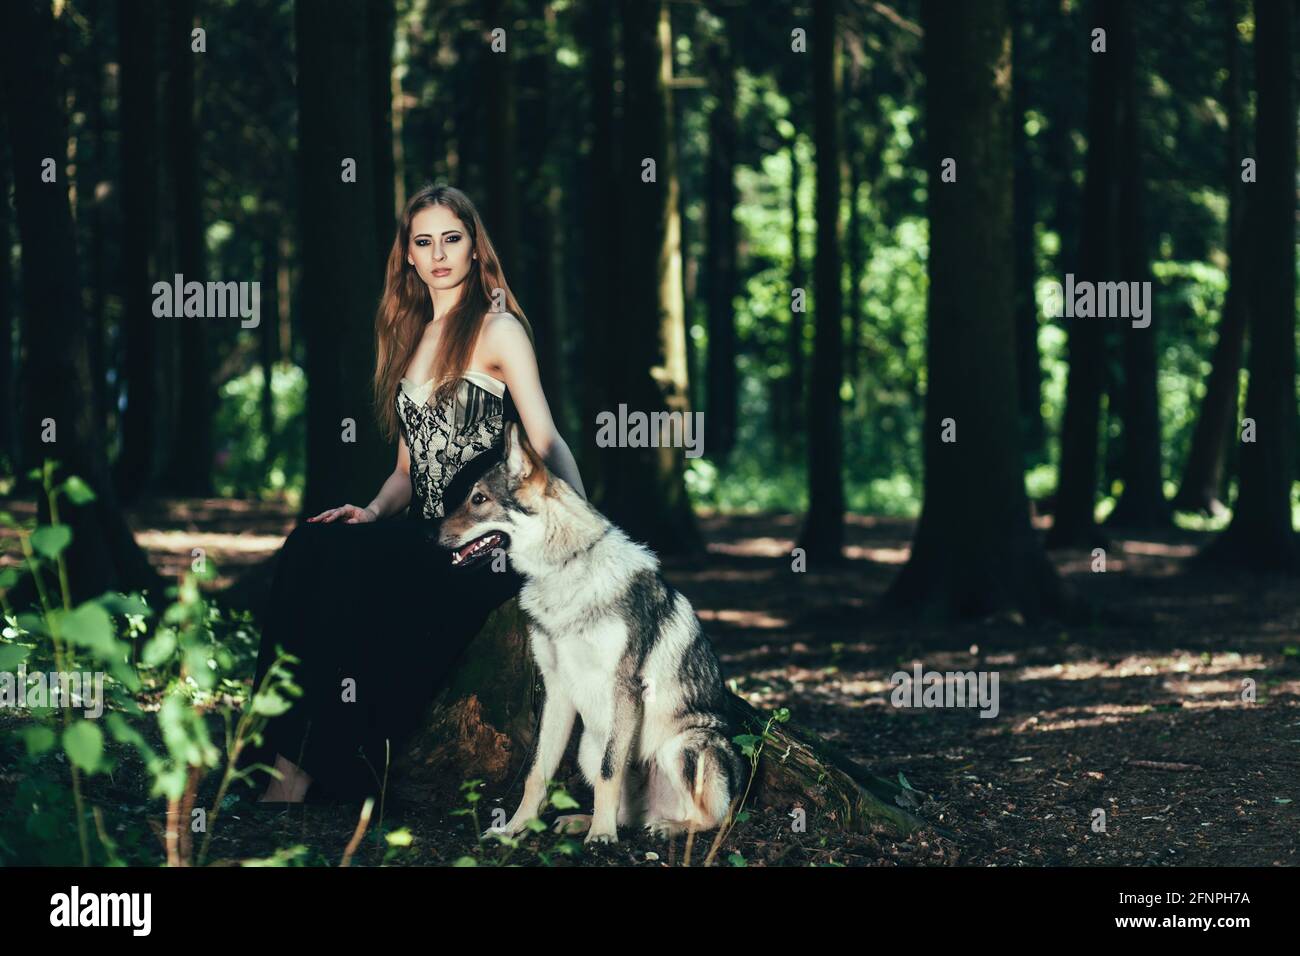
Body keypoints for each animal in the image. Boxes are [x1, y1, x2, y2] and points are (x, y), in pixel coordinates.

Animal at [439, 421, 748, 842]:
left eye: (478, 499)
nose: (430, 535)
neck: (563, 569)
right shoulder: (556, 689)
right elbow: (537, 773)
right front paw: (514, 828)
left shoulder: (625, 688)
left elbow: (609, 772)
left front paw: (601, 837)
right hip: (589, 744)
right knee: (630, 812)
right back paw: (582, 820)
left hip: (686, 745)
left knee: (715, 819)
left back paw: (665, 827)